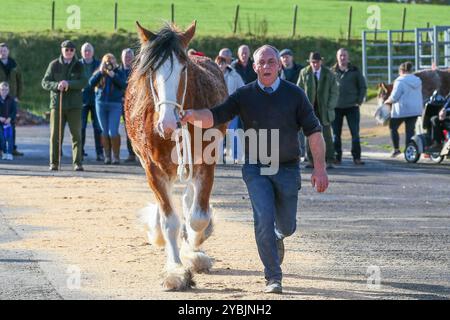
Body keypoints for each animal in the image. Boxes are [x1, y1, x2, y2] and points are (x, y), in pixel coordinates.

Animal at [124, 21, 227, 292]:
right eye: (152, 71)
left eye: (183, 68)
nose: (168, 123)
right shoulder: (152, 167)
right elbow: (169, 220)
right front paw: (176, 270)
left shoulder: (206, 162)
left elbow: (198, 218)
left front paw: (193, 251)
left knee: (191, 199)